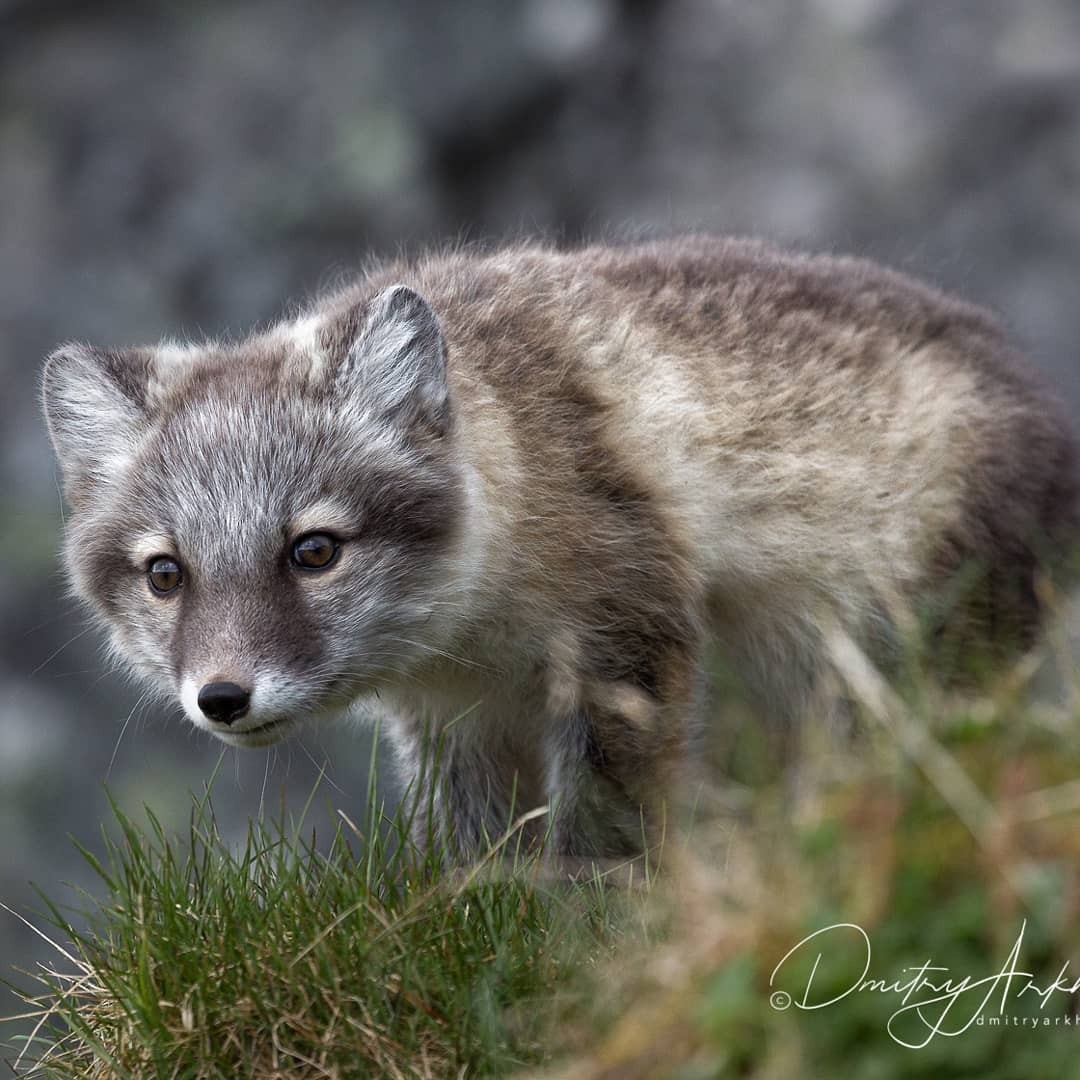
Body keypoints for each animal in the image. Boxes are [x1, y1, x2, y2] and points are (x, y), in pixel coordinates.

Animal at [42, 238, 1080, 859]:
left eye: (314, 551)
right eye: (165, 574)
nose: (222, 697)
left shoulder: (627, 638)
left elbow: (600, 830)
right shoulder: (452, 725)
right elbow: (470, 856)